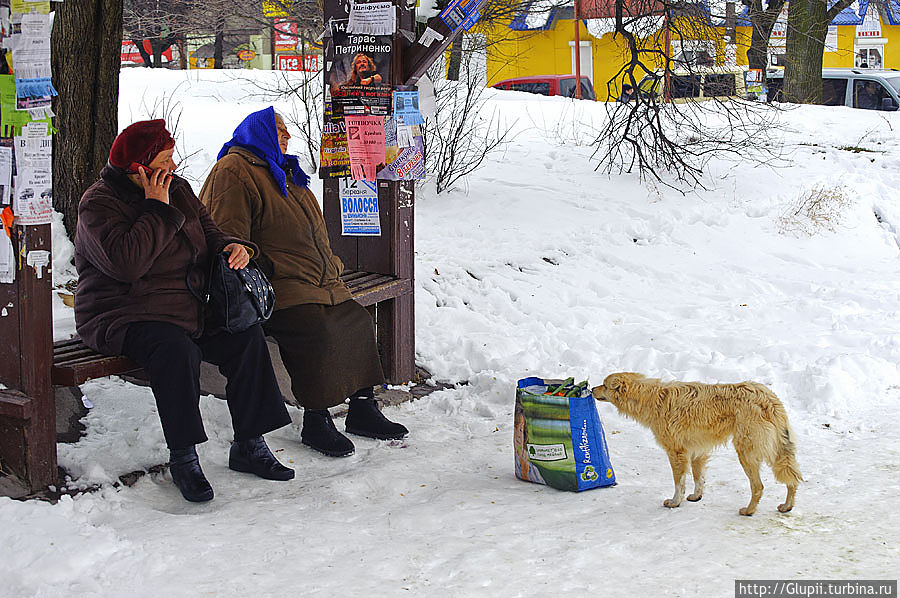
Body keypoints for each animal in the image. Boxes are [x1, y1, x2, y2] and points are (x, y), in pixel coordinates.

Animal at [592, 372, 800, 516]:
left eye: (604, 384)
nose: (592, 389)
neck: (653, 399)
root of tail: (769, 399)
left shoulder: (676, 452)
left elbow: (679, 482)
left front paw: (675, 502)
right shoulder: (697, 452)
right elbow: (698, 478)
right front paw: (695, 497)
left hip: (747, 453)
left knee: (758, 487)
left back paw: (748, 511)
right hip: (777, 451)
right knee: (792, 479)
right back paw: (787, 506)